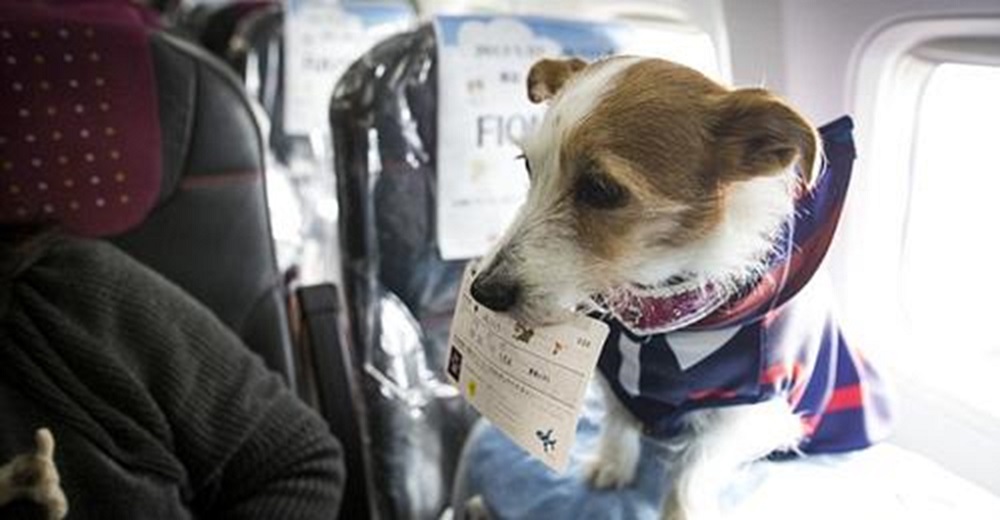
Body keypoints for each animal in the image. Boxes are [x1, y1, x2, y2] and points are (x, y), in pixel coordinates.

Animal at [470, 54, 892, 516]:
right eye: (529, 165)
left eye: (601, 189)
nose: (482, 292)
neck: (662, 318)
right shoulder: (615, 375)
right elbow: (618, 419)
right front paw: (613, 464)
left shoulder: (745, 412)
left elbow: (693, 469)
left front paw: (681, 509)